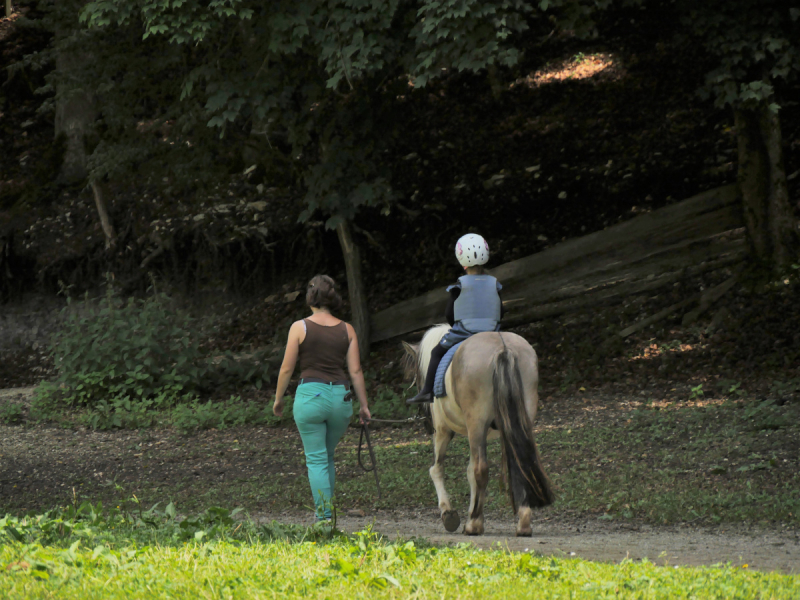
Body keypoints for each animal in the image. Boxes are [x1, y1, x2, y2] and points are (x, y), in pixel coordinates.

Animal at [404, 326, 552, 536]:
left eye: (417, 378)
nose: (426, 423)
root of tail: (503, 348)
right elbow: (470, 472)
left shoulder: (443, 430)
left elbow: (438, 469)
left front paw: (450, 514)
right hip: (519, 420)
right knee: (521, 464)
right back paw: (523, 524)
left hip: (476, 423)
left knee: (481, 470)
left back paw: (474, 524)